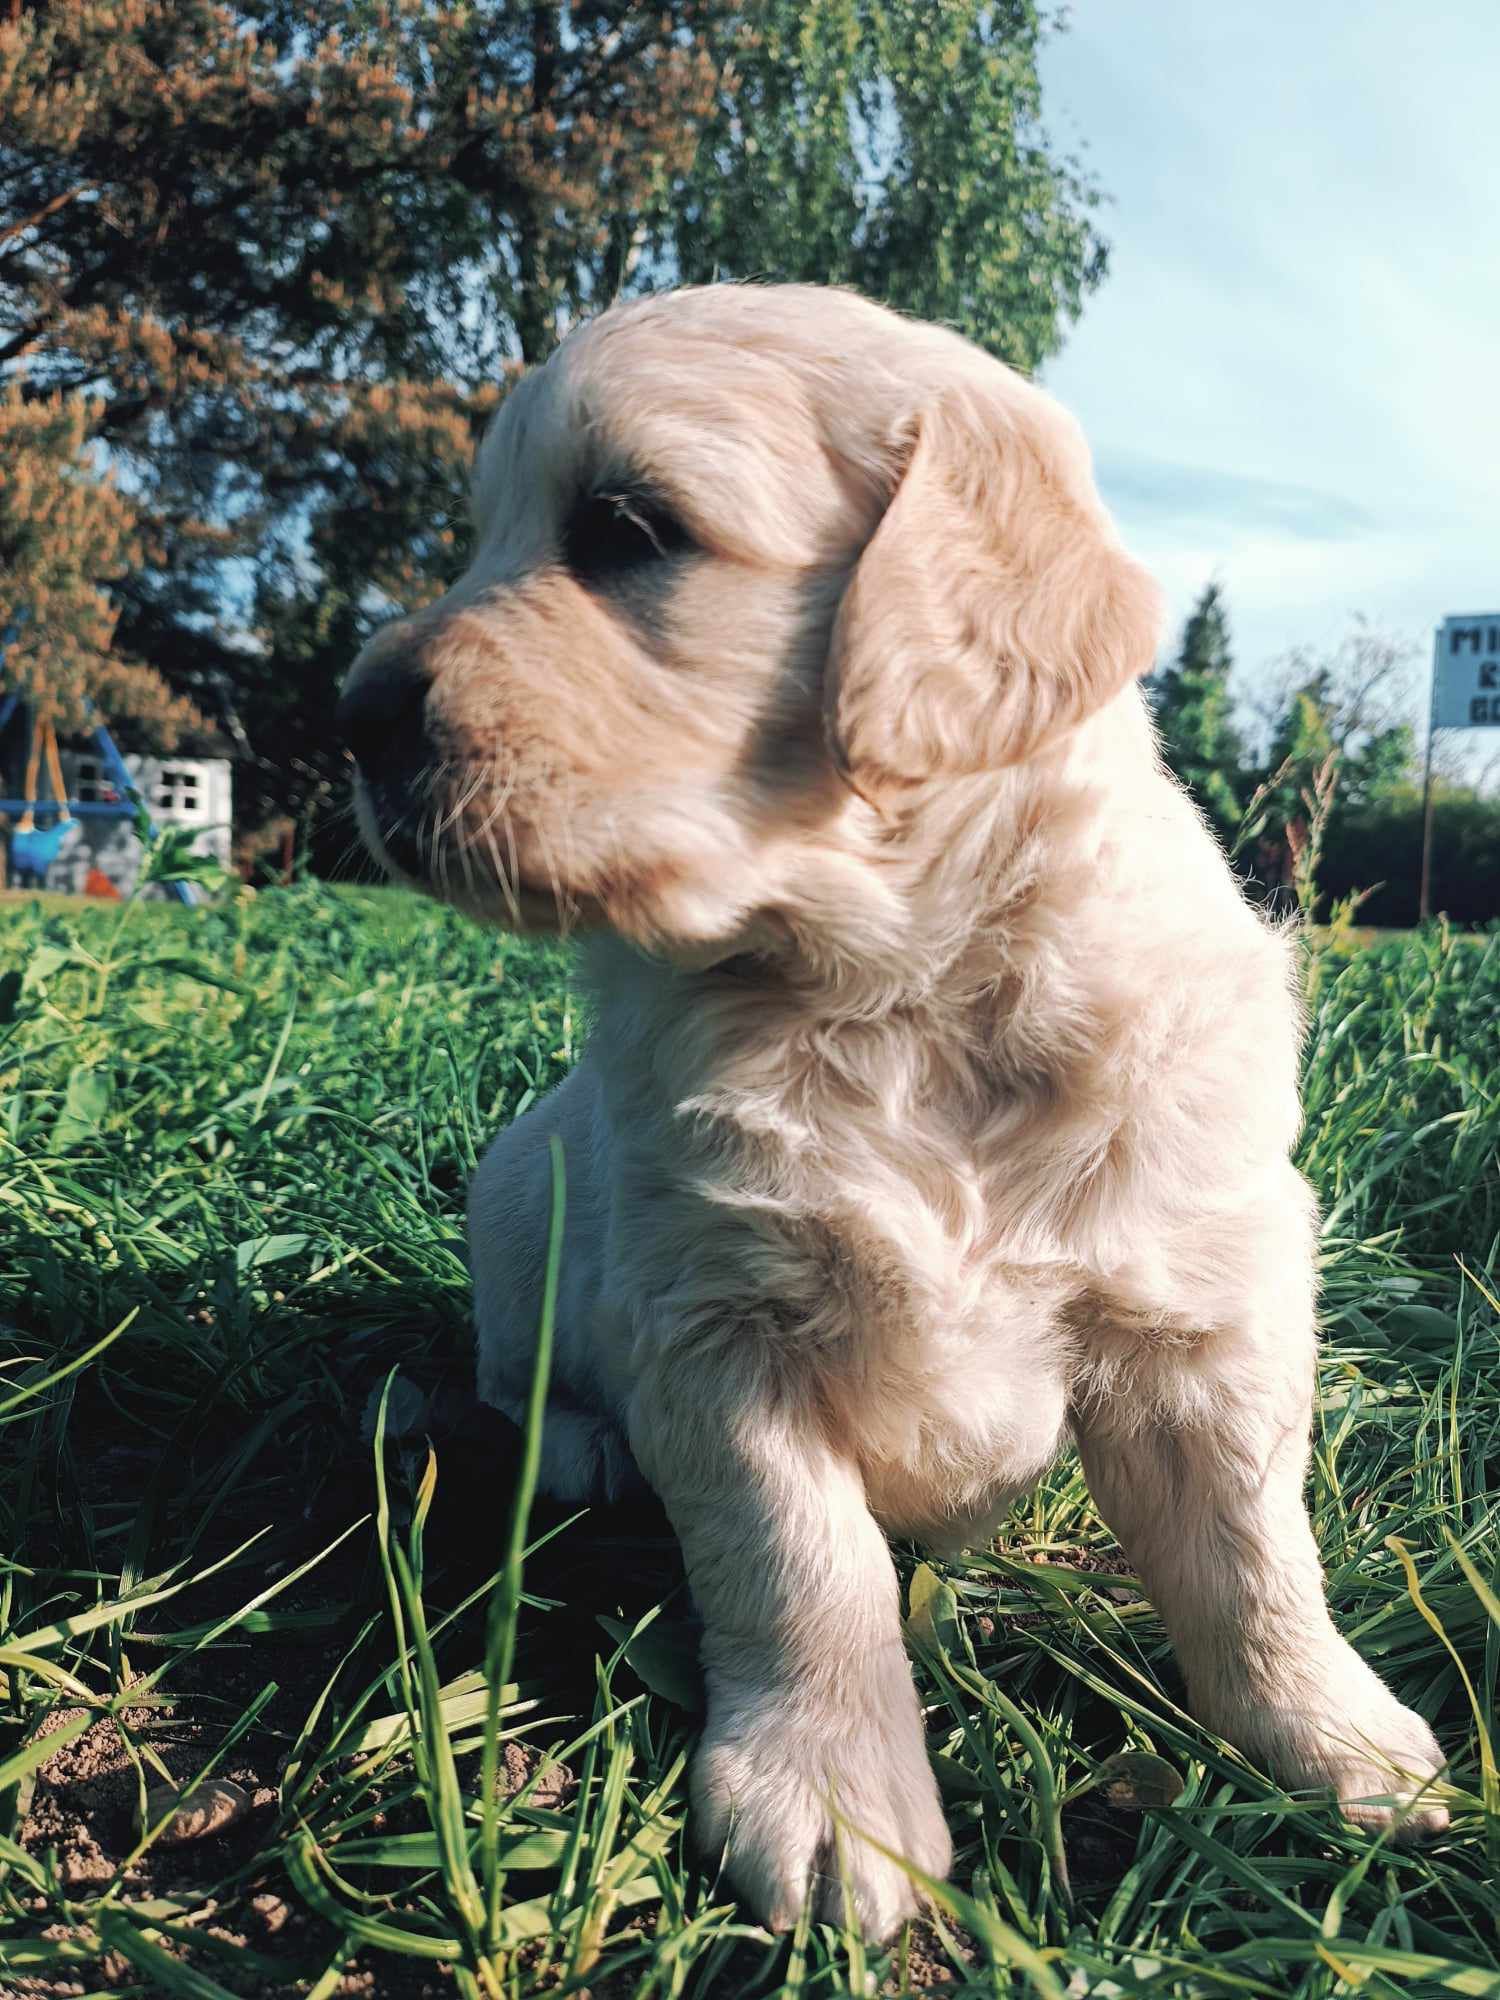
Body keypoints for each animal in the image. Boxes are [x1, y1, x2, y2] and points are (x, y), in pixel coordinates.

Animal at [338, 282, 1448, 1936]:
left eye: (627, 526)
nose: (346, 719)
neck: (892, 992)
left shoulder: (1205, 1300)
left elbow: (1256, 1552)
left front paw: (1336, 1739)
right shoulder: (711, 1318)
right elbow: (801, 1564)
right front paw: (835, 1802)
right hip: (523, 1178)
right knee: (515, 1363)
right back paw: (577, 1444)